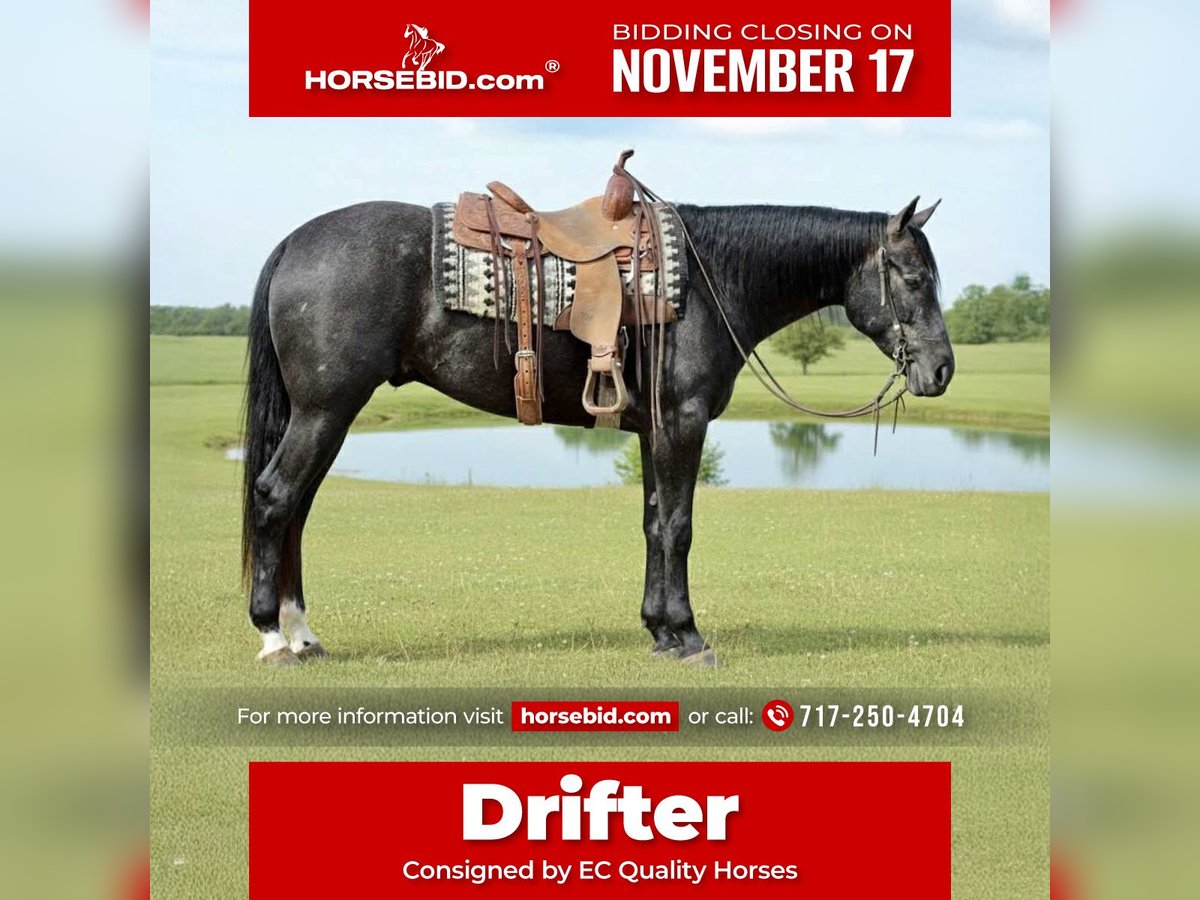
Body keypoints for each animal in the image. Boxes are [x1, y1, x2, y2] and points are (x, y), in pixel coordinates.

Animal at [241, 194, 954, 666]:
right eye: (916, 278)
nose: (943, 368)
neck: (709, 279)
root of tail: (295, 241)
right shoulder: (682, 423)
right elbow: (678, 526)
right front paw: (689, 637)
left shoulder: (652, 431)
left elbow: (653, 524)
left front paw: (660, 632)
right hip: (326, 410)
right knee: (277, 499)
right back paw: (274, 636)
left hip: (325, 415)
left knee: (296, 509)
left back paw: (303, 633)